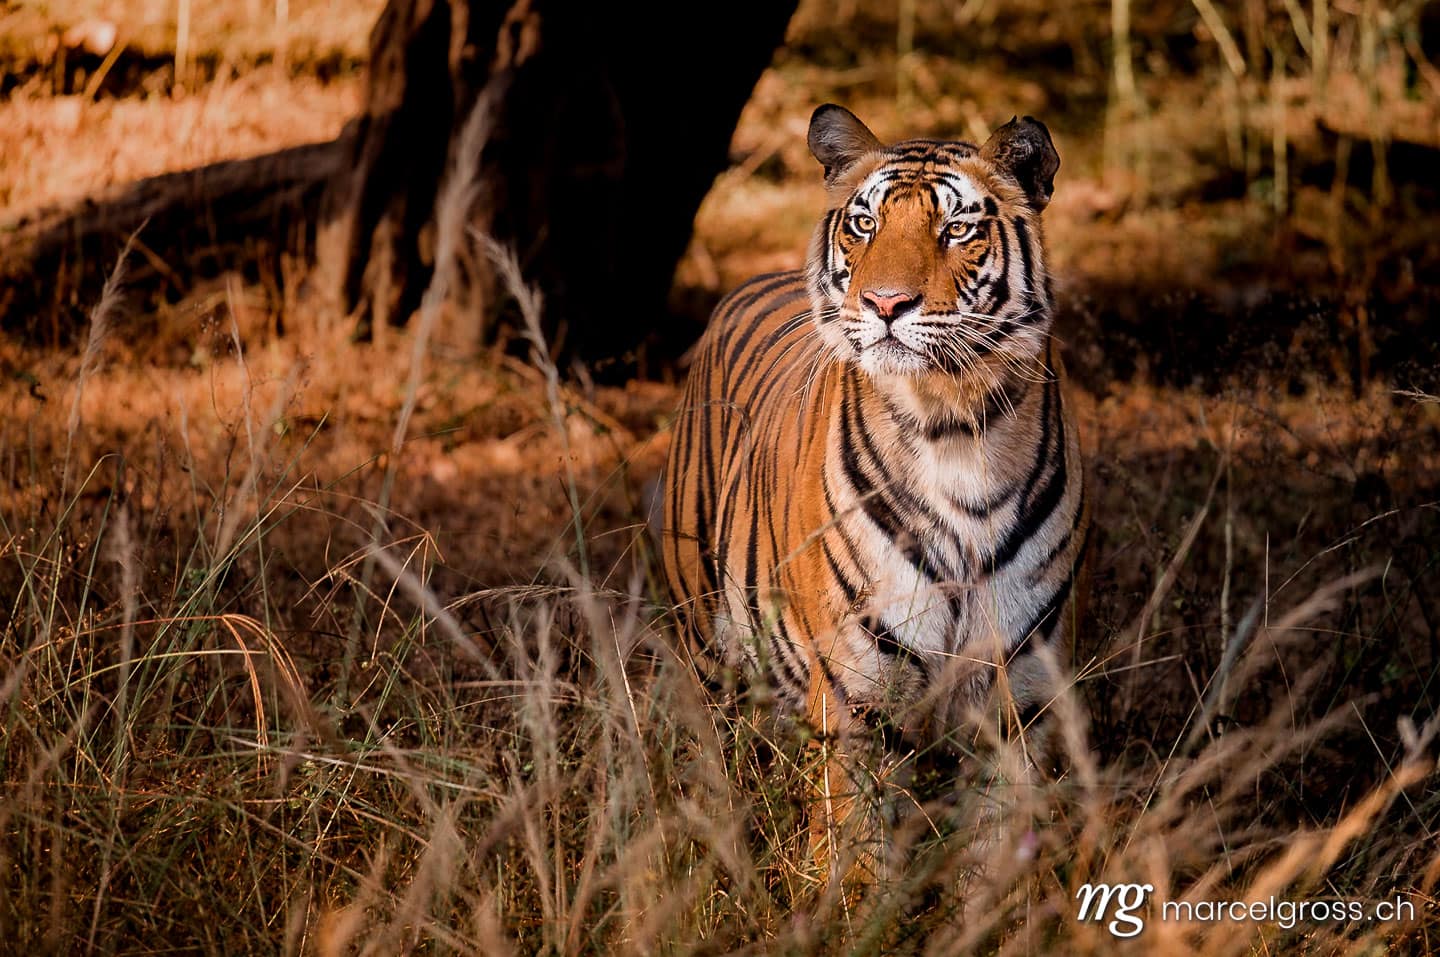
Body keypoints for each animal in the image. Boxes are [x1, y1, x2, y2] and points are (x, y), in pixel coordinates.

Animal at [661, 104, 1088, 871]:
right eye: (863, 224)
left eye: (956, 230)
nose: (885, 302)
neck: (956, 428)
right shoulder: (855, 698)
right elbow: (855, 854)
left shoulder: (1017, 702)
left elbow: (995, 859)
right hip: (705, 650)